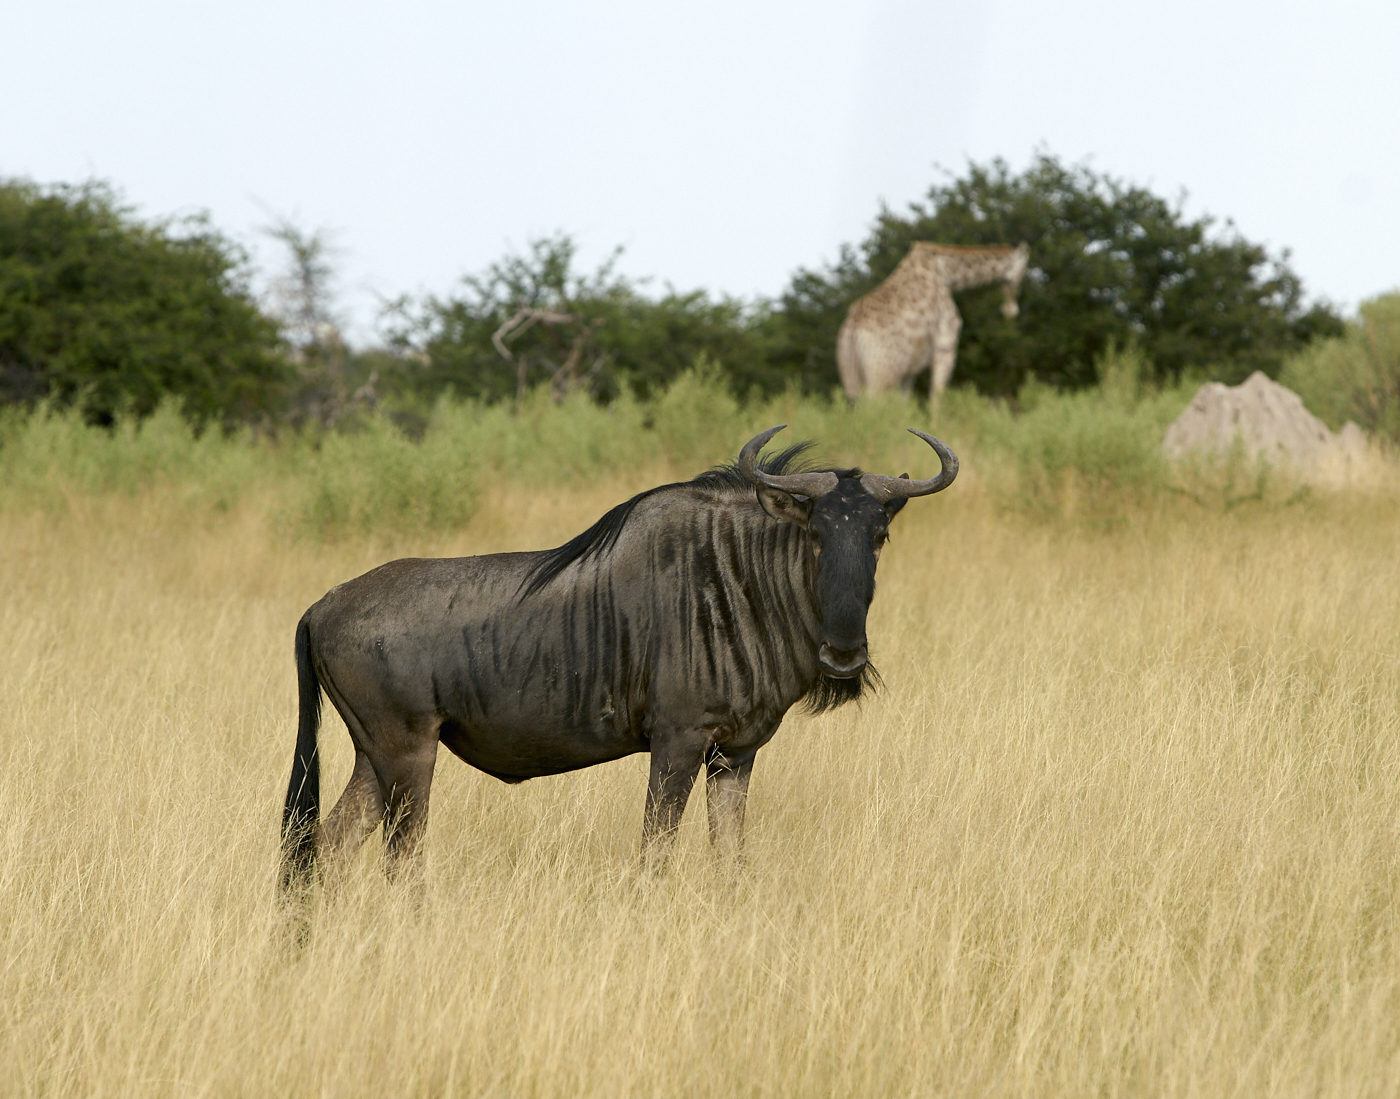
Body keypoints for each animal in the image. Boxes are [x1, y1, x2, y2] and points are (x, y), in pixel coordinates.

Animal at [834, 242, 1024, 400]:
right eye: (1023, 272)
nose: (1011, 310)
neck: (949, 274)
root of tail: (851, 331)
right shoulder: (946, 345)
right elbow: (936, 395)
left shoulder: (909, 370)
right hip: (881, 373)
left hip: (852, 379)